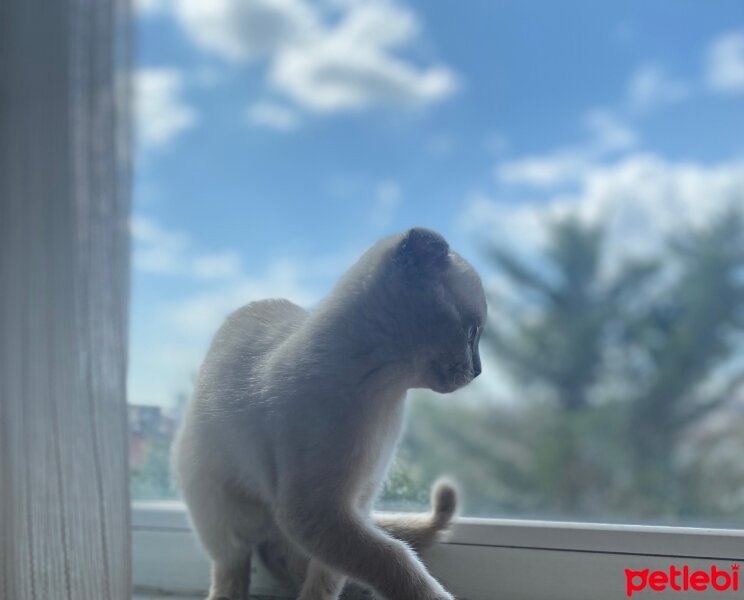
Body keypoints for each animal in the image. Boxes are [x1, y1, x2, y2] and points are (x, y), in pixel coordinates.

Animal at [174, 227, 488, 596]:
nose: (479, 370)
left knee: (281, 557)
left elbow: (329, 577)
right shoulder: (318, 512)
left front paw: (318, 594)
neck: (387, 395)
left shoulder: (355, 503)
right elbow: (393, 556)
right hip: (218, 508)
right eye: (472, 333)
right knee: (233, 564)